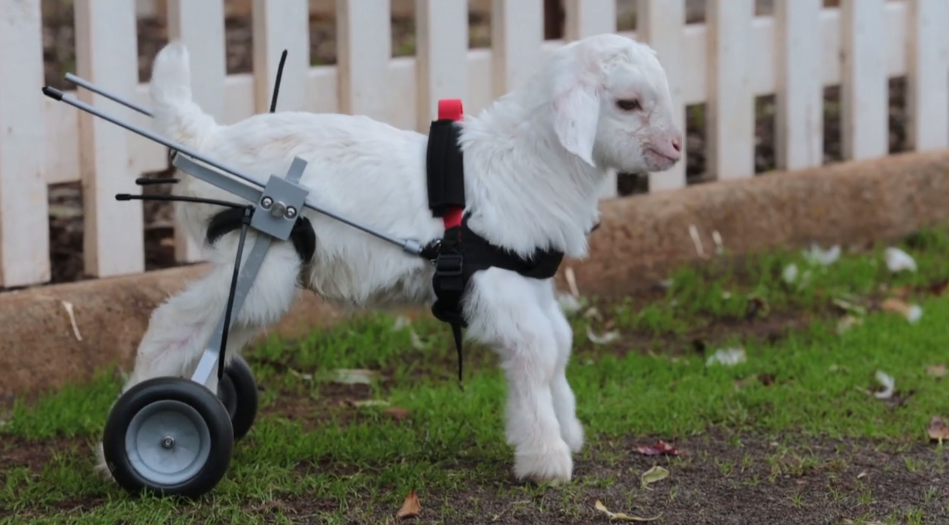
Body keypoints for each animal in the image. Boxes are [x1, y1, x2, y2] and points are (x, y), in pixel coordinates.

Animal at [100, 31, 680, 484]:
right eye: (628, 104)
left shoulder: (529, 279)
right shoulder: (497, 281)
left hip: (256, 265)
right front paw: (547, 459)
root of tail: (207, 141)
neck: (521, 161)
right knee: (171, 326)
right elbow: (536, 353)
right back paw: (137, 443)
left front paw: (568, 431)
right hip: (263, 253)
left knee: (214, 337)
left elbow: (558, 346)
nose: (676, 148)